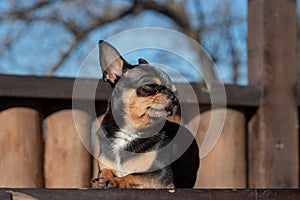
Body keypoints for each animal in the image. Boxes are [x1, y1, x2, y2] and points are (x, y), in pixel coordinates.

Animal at [91, 39, 199, 188]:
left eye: (175, 91)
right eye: (149, 84)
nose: (174, 98)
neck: (130, 131)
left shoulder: (161, 175)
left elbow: (131, 175)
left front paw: (115, 180)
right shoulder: (104, 166)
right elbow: (105, 170)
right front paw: (104, 178)